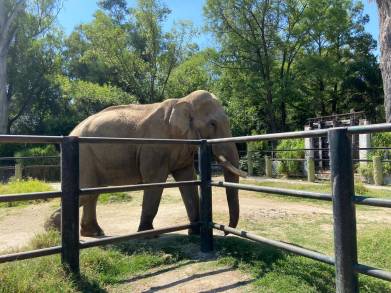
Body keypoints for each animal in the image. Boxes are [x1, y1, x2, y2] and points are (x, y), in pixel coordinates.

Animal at [46, 90, 247, 236]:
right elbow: (154, 182)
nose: (226, 232)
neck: (183, 100)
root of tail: (72, 131)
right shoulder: (154, 147)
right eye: (212, 124)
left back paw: (93, 233)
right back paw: (53, 230)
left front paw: (195, 233)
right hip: (84, 156)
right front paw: (147, 233)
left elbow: (187, 179)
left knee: (92, 193)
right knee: (88, 192)